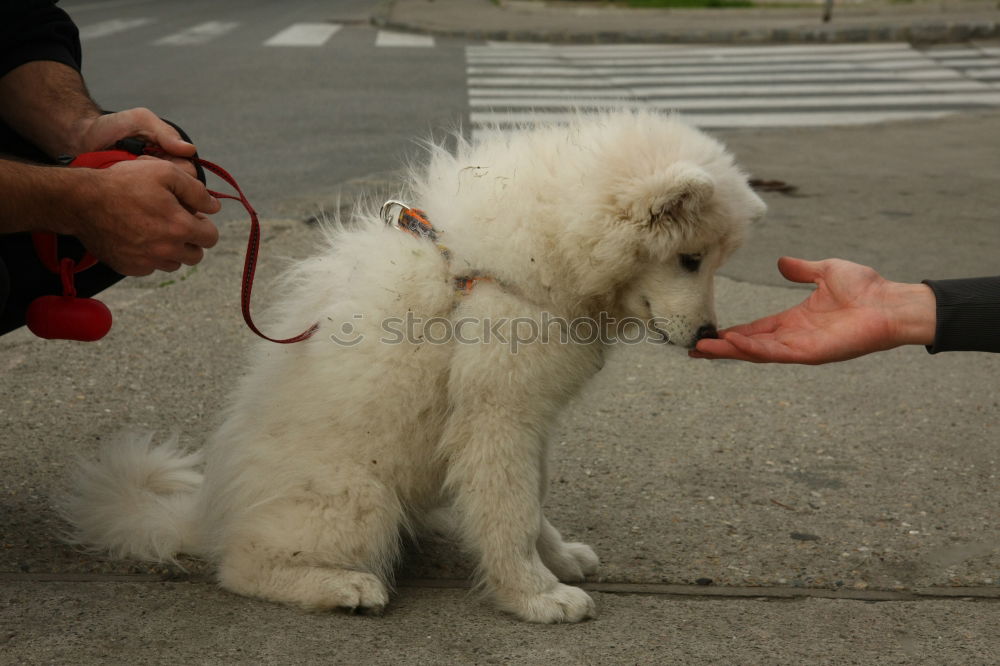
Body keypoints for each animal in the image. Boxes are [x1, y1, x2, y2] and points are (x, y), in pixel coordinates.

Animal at [60, 110, 764, 624]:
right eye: (690, 259)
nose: (708, 335)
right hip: (357, 498)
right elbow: (511, 510)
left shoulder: (526, 419)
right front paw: (535, 597)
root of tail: (208, 512)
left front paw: (558, 560)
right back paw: (344, 588)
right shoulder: (497, 414)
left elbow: (531, 500)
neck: (543, 249)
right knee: (242, 567)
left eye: (713, 260)